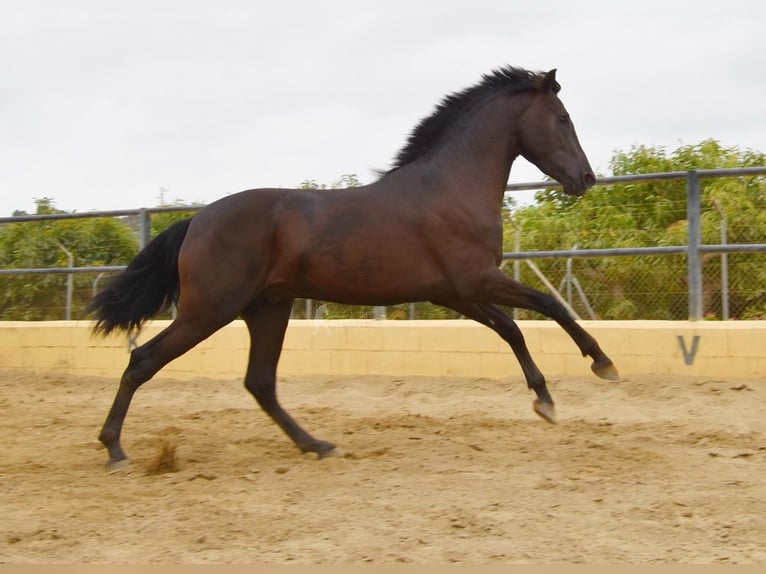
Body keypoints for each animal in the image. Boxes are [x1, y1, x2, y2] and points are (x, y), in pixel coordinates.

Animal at [88, 67, 616, 472]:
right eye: (563, 118)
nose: (586, 178)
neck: (451, 187)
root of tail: (196, 220)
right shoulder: (475, 280)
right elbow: (549, 305)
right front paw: (600, 365)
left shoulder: (453, 292)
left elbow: (511, 329)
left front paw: (545, 400)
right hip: (210, 310)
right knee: (144, 361)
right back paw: (115, 451)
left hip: (267, 308)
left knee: (260, 382)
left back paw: (317, 445)